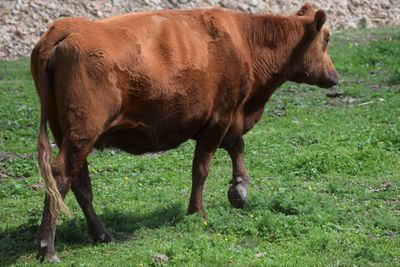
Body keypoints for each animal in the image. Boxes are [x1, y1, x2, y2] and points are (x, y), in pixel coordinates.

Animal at [31, 3, 338, 262]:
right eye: (327, 38)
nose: (335, 77)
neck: (245, 42)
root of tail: (66, 27)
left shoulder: (230, 116)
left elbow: (236, 146)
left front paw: (239, 188)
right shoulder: (219, 118)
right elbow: (201, 168)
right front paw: (197, 212)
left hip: (68, 134)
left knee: (79, 183)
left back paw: (100, 233)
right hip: (83, 133)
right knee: (61, 176)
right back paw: (48, 248)